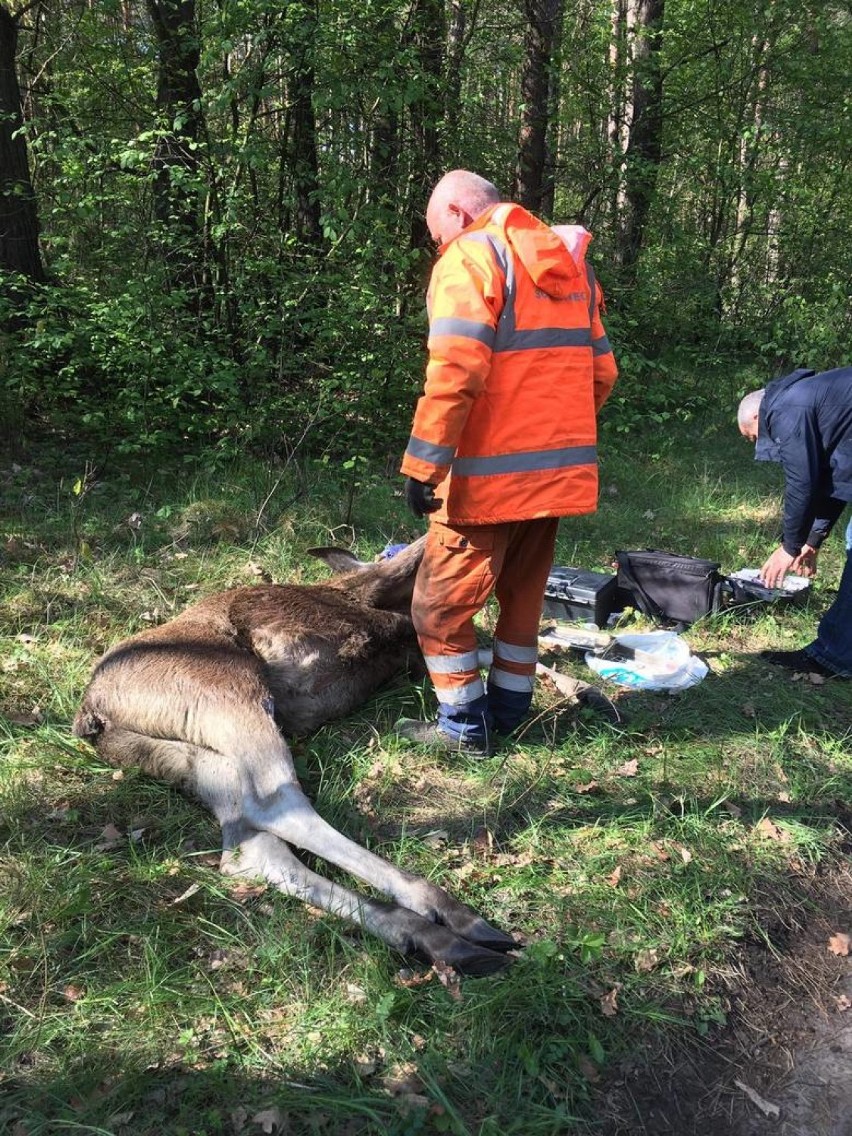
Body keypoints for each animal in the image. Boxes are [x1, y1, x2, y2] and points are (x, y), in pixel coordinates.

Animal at [73, 538, 518, 976]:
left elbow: (481, 651)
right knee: (277, 806)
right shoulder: (377, 592)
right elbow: (421, 558)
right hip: (230, 690)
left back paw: (433, 937)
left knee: (248, 848)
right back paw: (444, 915)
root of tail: (92, 714)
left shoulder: (406, 647)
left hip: (194, 757)